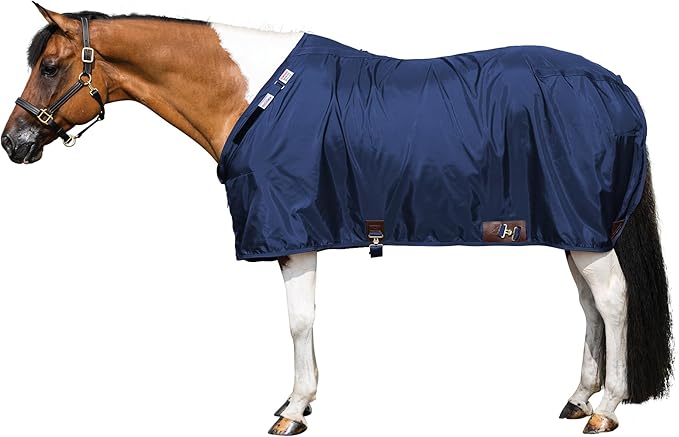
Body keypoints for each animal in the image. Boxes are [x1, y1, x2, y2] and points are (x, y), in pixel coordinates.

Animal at [1, 4, 672, 435]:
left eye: (51, 66)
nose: (14, 142)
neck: (252, 95)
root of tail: (617, 87)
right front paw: (302, 400)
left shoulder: (294, 235)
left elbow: (299, 322)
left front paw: (293, 410)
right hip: (574, 229)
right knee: (589, 304)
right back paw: (578, 398)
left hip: (585, 231)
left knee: (612, 300)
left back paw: (607, 408)